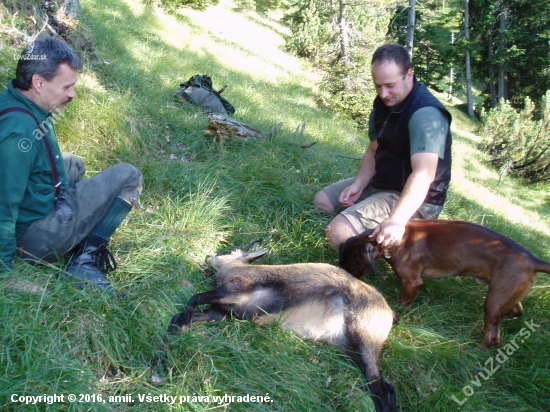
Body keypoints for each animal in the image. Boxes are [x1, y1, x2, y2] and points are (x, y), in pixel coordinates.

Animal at [340, 219, 550, 348]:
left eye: (352, 264)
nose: (345, 278)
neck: (396, 239)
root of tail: (532, 260)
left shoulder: (412, 282)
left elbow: (404, 302)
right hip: (506, 297)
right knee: (516, 312)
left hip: (494, 301)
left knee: (492, 338)